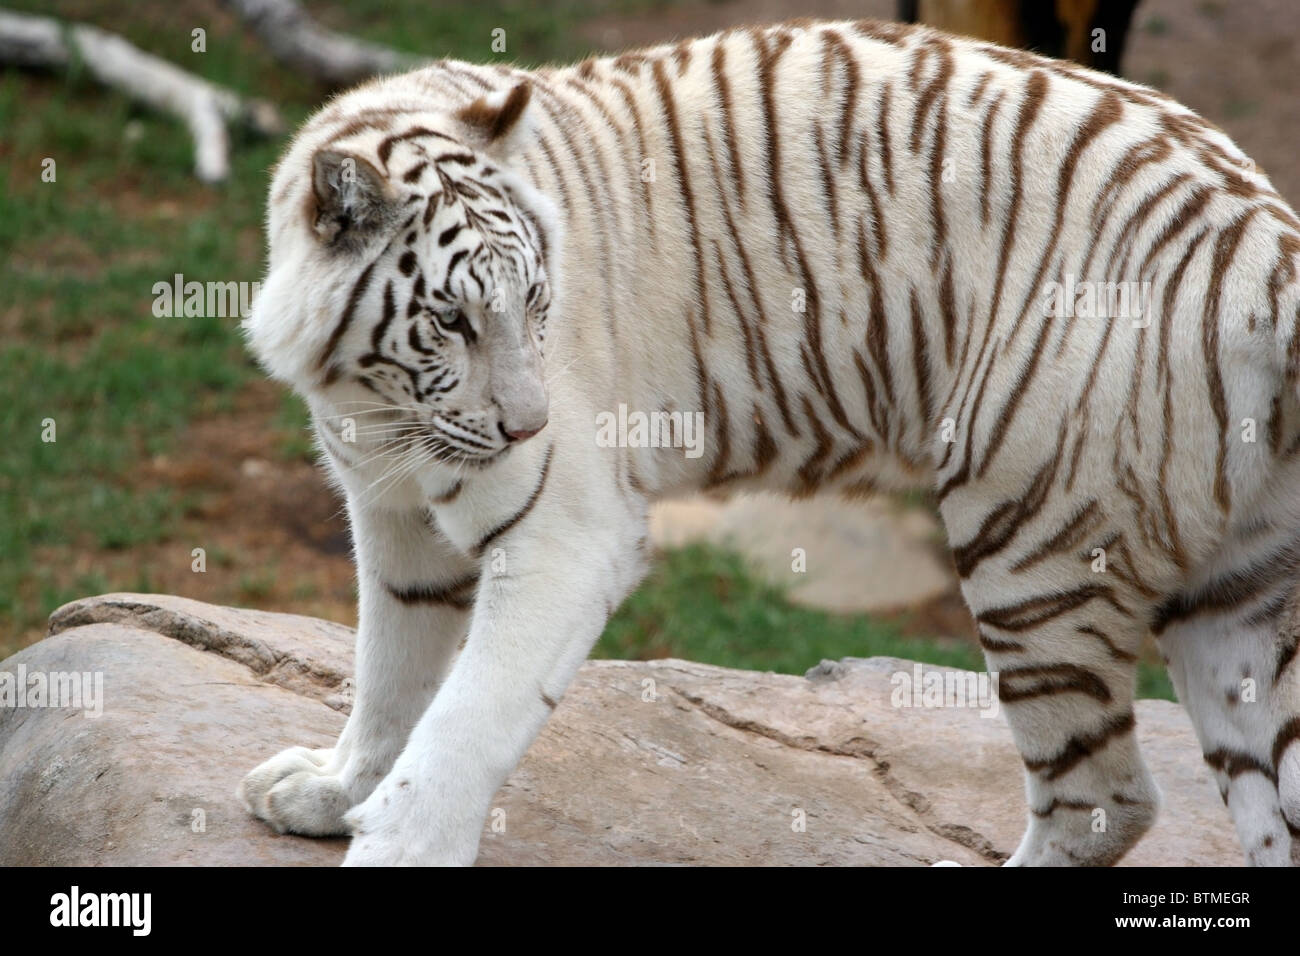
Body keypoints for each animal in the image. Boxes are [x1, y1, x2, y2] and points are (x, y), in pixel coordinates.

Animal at [239, 18, 1300, 863]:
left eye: (537, 302)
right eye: (453, 320)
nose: (528, 426)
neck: (379, 404)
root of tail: (1268, 240)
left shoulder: (565, 539)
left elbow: (463, 718)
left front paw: (395, 842)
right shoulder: (391, 516)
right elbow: (391, 672)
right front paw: (330, 791)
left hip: (1032, 545)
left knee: (1101, 797)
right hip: (1242, 596)